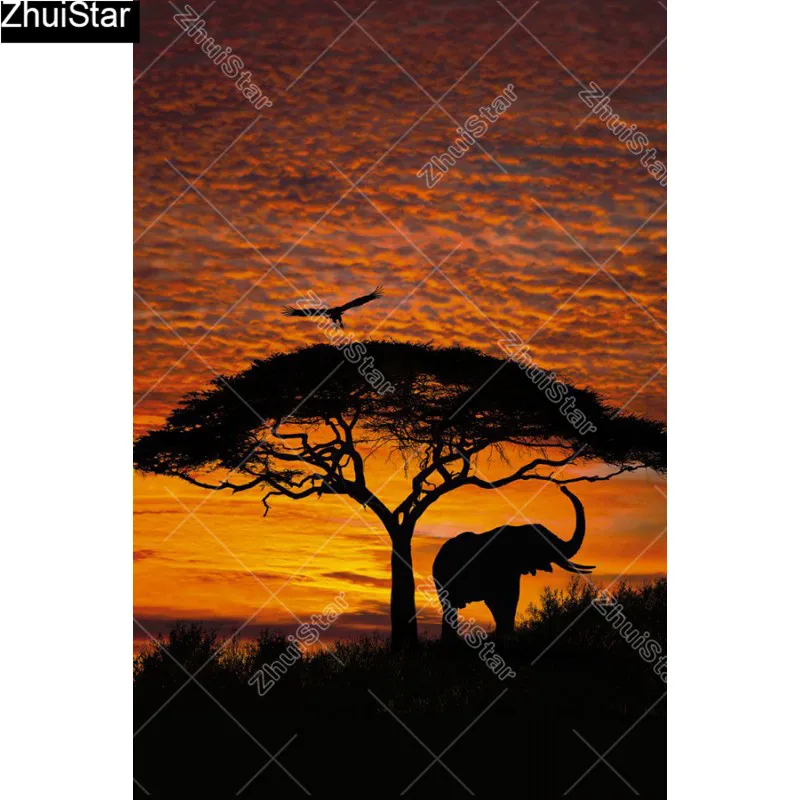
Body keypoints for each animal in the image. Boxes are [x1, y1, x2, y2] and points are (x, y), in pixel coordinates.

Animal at [431, 485, 593, 641]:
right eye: (542, 545)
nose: (563, 487)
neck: (518, 530)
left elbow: (513, 598)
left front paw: (508, 636)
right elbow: (496, 601)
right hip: (441, 578)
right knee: (449, 606)